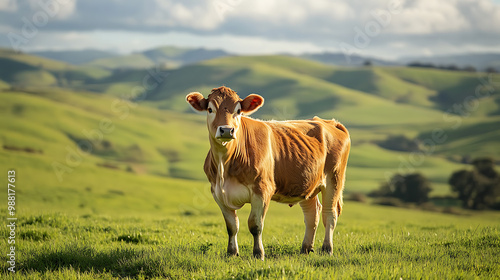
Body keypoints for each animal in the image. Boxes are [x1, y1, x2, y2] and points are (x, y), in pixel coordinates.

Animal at [186, 86, 350, 260]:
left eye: (238, 111)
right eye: (210, 109)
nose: (226, 130)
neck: (225, 164)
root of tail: (330, 122)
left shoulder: (262, 190)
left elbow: (255, 225)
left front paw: (258, 253)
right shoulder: (218, 193)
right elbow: (232, 226)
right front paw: (232, 253)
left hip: (334, 179)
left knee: (330, 214)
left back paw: (327, 248)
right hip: (307, 183)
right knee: (312, 214)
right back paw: (305, 248)